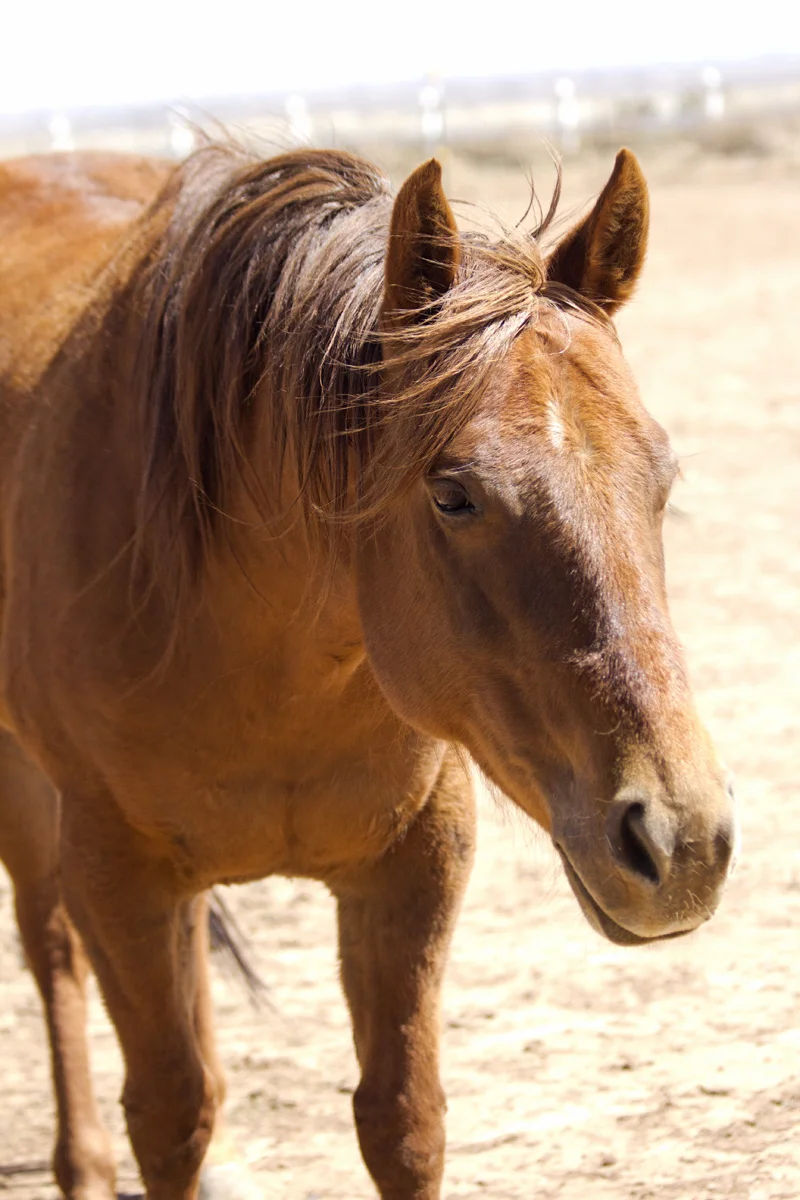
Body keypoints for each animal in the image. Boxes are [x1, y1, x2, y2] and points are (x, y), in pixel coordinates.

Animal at [0, 141, 737, 1200]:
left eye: (662, 479)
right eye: (453, 493)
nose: (682, 842)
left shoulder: (413, 865)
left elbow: (402, 1122)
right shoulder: (115, 871)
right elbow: (169, 1119)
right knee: (52, 949)